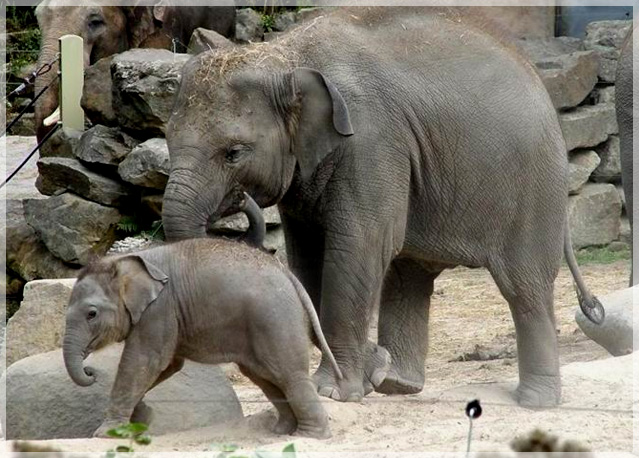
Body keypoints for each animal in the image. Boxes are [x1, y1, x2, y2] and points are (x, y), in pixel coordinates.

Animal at [64, 195, 342, 438]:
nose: (90, 371)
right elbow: (167, 365)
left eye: (91, 314)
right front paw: (141, 415)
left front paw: (105, 433)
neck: (122, 262)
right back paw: (281, 431)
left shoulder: (160, 309)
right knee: (265, 377)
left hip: (276, 320)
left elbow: (145, 360)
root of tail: (287, 274)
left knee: (290, 375)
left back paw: (310, 436)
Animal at [161, 6, 604, 408]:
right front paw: (364, 372)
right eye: (166, 136)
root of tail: (538, 78)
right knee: (409, 274)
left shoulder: (371, 142)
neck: (288, 55)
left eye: (233, 153)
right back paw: (396, 382)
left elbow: (357, 245)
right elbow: (307, 257)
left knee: (523, 286)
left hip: (533, 188)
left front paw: (335, 393)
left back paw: (535, 402)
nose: (238, 201)